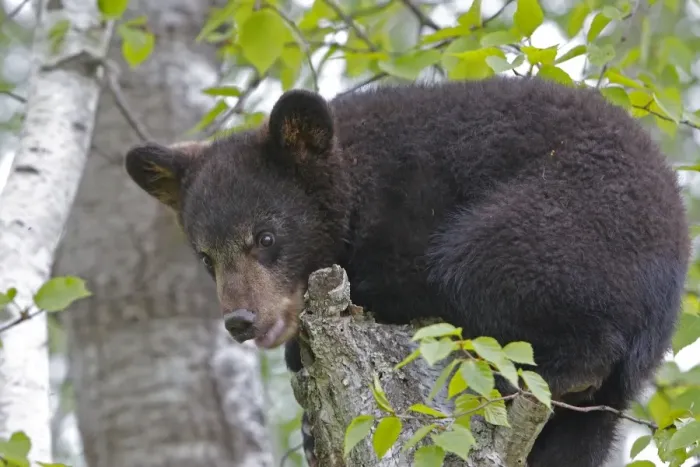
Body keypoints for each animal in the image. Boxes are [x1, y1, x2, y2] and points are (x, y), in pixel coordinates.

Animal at [124, 76, 690, 467]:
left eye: (265, 238)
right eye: (206, 257)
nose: (241, 320)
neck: (355, 179)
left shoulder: (411, 201)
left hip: (564, 222)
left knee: (483, 269)